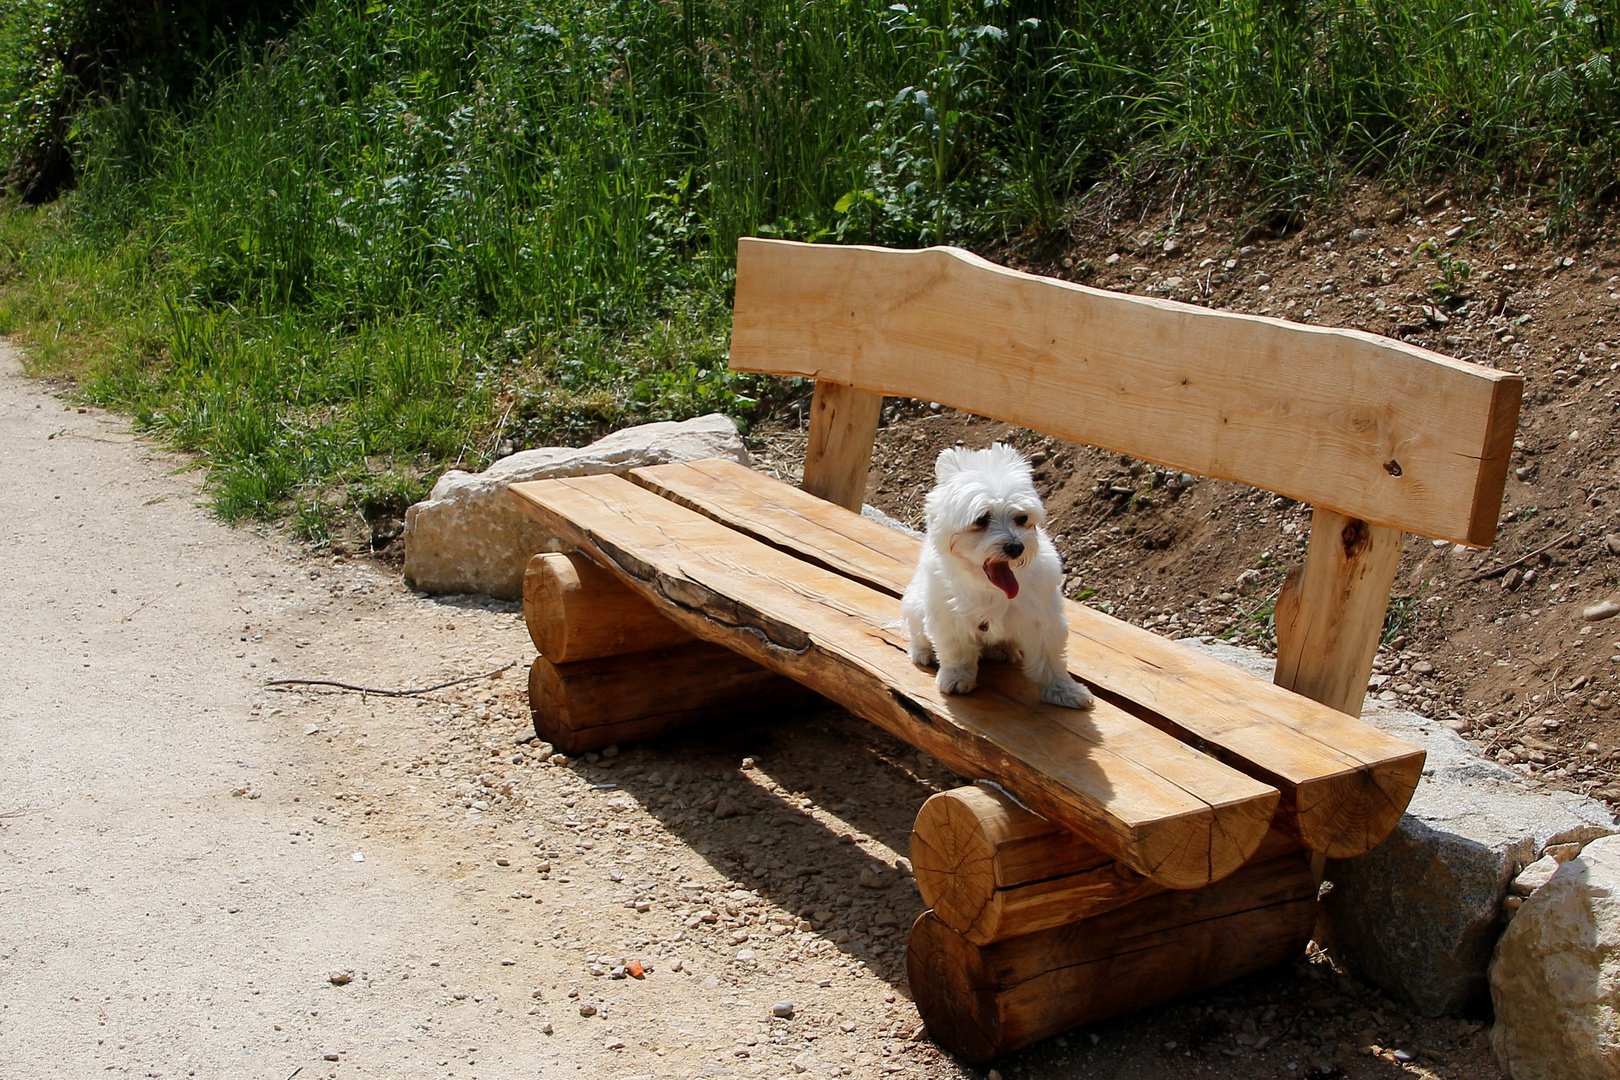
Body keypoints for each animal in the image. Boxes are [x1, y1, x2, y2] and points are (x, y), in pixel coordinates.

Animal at [900, 440, 1088, 709]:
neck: (990, 588)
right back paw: (923, 652)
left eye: (1022, 518)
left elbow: (1049, 660)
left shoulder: (1043, 619)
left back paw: (1002, 650)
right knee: (918, 633)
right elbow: (957, 651)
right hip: (915, 604)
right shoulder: (948, 616)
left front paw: (1063, 690)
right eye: (981, 519)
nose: (1015, 546)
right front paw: (957, 677)